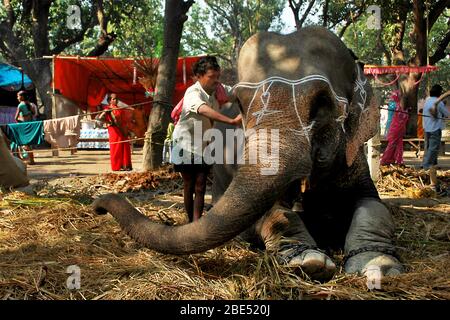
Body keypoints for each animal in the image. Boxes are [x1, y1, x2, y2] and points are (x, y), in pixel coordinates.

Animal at [93, 26, 402, 282]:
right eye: (240, 103)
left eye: (322, 102)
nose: (98, 206)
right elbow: (270, 213)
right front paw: (307, 262)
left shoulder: (352, 156)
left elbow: (372, 205)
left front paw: (380, 266)